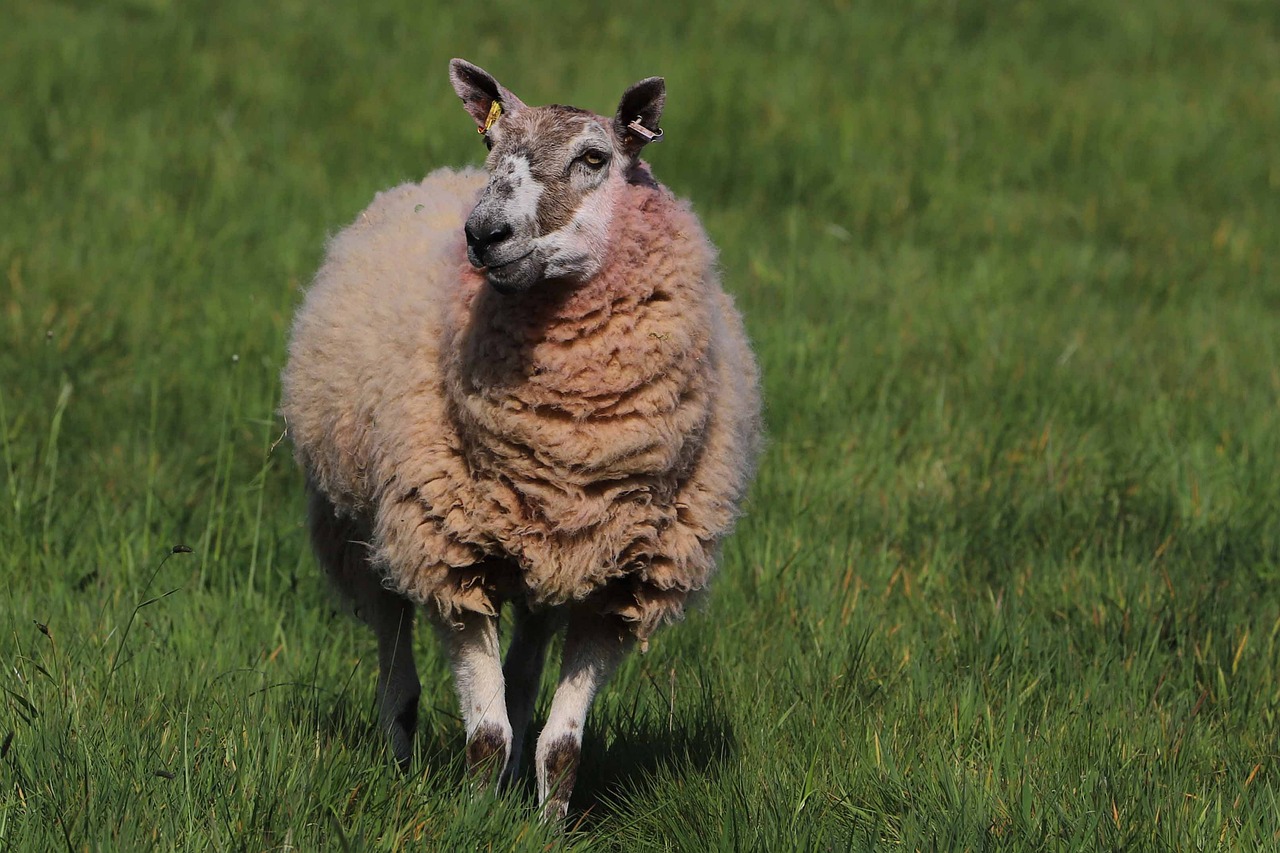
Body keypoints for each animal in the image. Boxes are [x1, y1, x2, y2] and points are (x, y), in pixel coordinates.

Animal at [280, 58, 762, 819]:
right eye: (491, 144)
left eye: (594, 158)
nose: (484, 233)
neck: (570, 440)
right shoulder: (451, 554)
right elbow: (485, 734)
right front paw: (475, 820)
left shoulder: (620, 586)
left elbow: (558, 744)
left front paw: (545, 821)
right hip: (355, 527)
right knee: (394, 653)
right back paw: (399, 758)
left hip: (548, 563)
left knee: (524, 672)